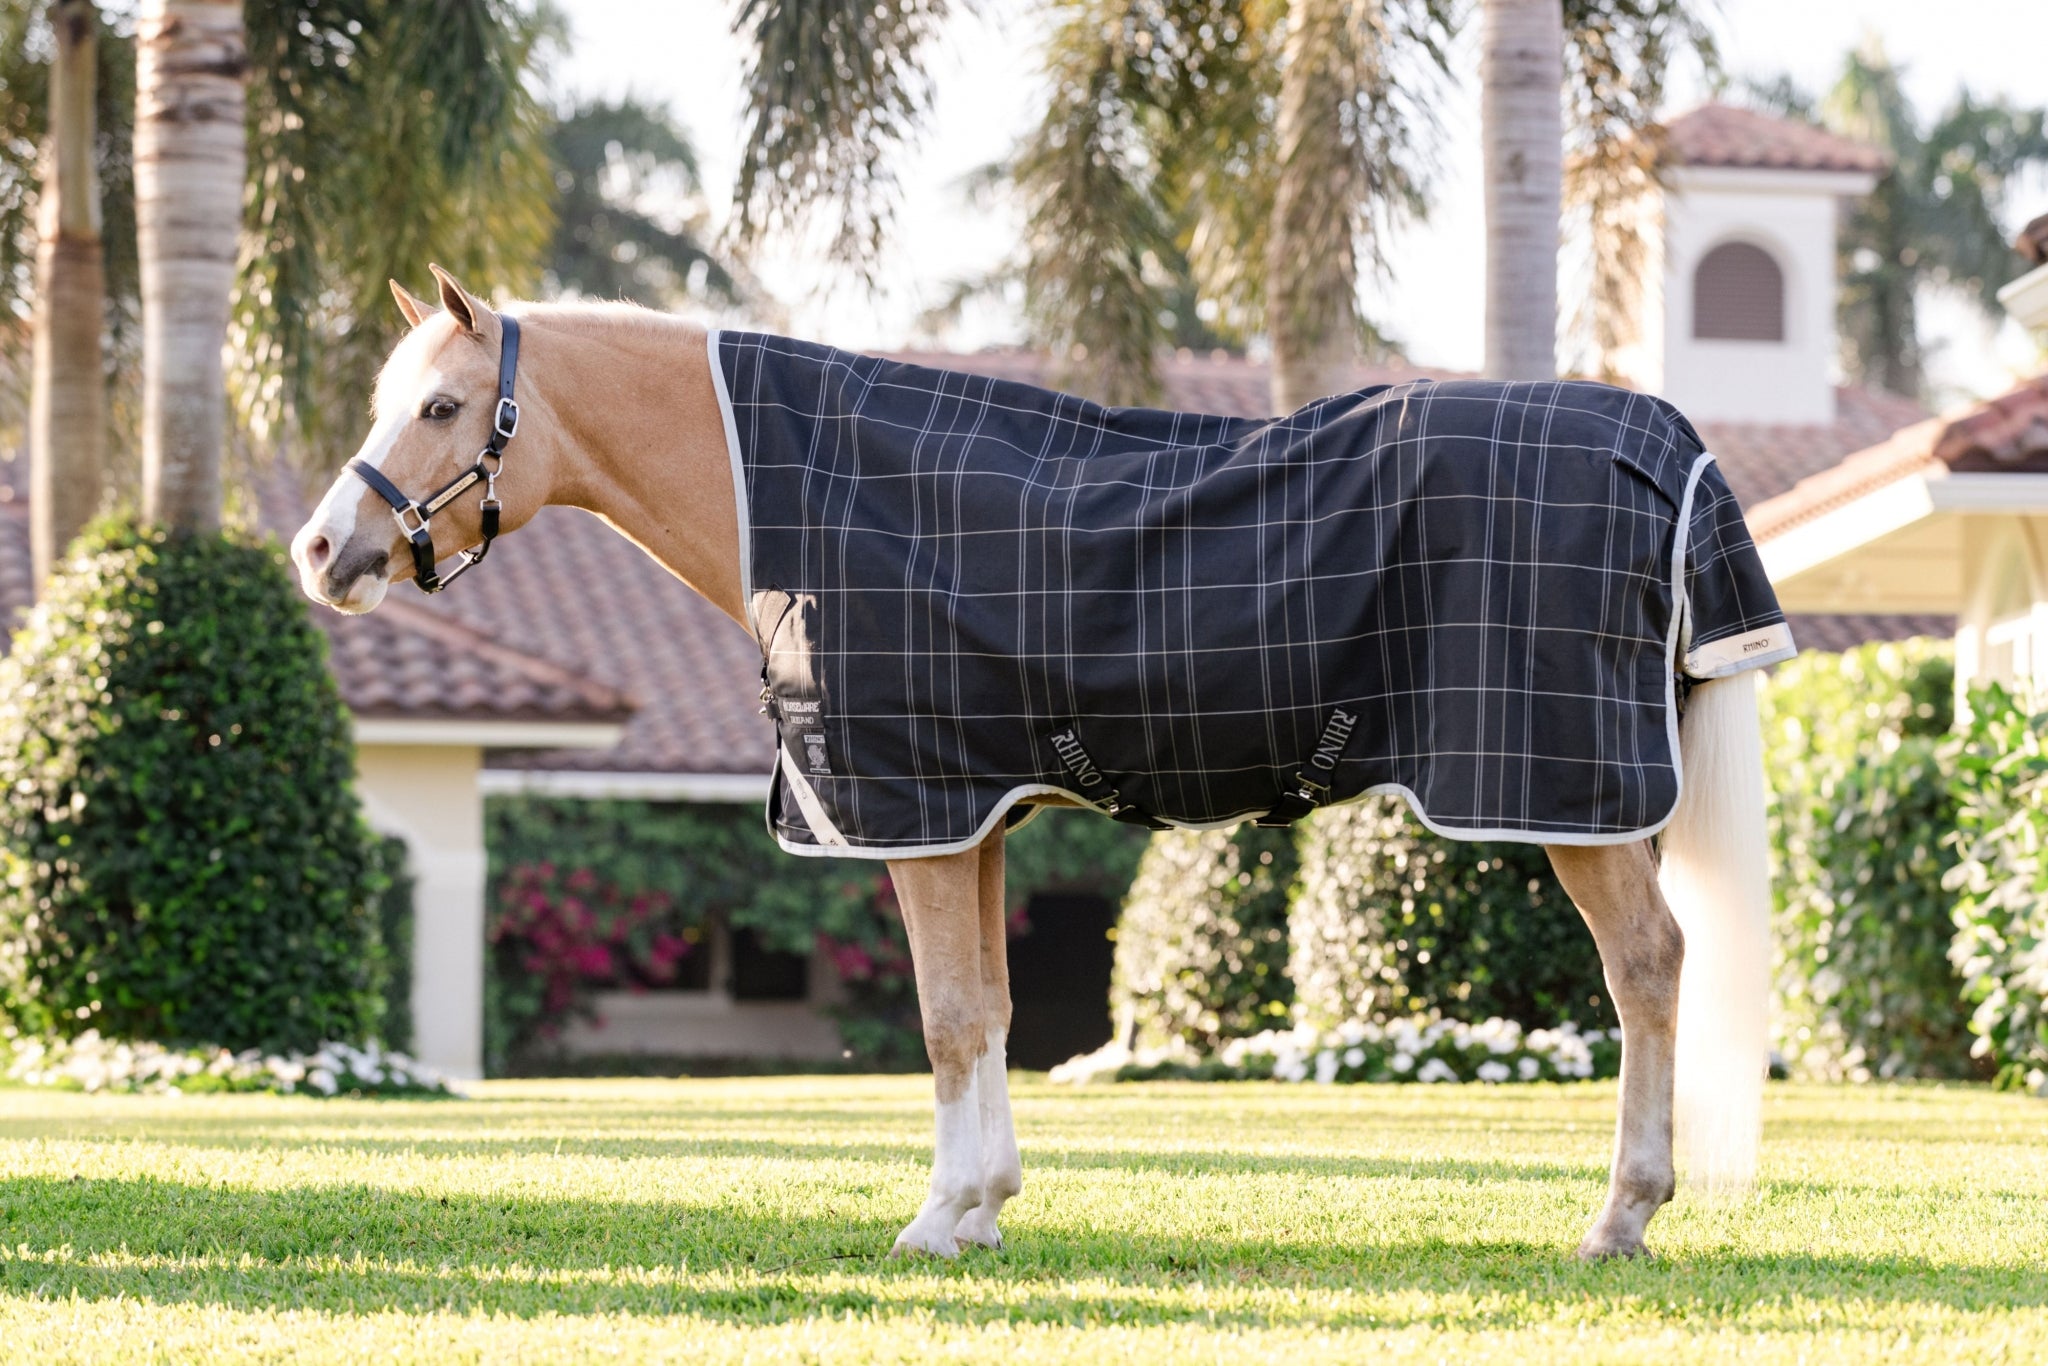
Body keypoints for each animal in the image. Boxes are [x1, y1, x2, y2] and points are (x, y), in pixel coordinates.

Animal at [292, 265, 1778, 1262]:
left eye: (441, 405)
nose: (320, 552)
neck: (805, 492)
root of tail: (1665, 445)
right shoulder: (980, 815)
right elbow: (993, 1009)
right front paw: (984, 1207)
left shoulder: (912, 810)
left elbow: (948, 1017)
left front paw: (937, 1218)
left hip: (1574, 796)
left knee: (1646, 965)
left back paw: (1621, 1215)